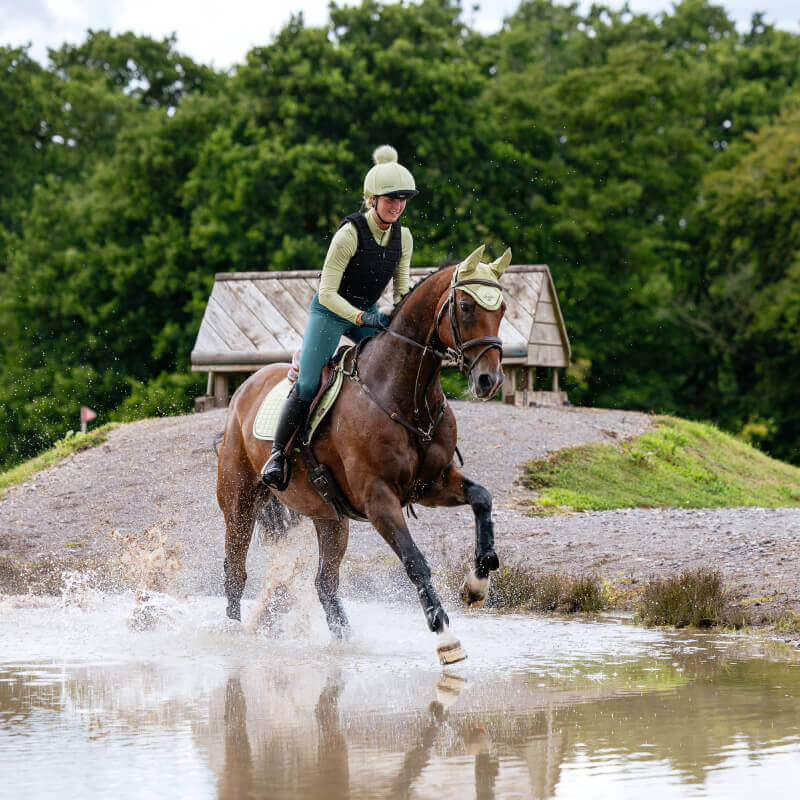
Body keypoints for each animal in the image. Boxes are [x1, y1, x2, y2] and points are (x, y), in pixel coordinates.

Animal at [216, 244, 511, 664]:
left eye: (501, 309)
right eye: (467, 306)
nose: (489, 380)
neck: (407, 396)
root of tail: (246, 387)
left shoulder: (432, 484)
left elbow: (482, 498)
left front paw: (477, 583)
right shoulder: (378, 499)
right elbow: (415, 562)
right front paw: (446, 638)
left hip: (329, 517)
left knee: (325, 582)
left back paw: (345, 640)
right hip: (240, 501)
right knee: (235, 570)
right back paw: (231, 633)